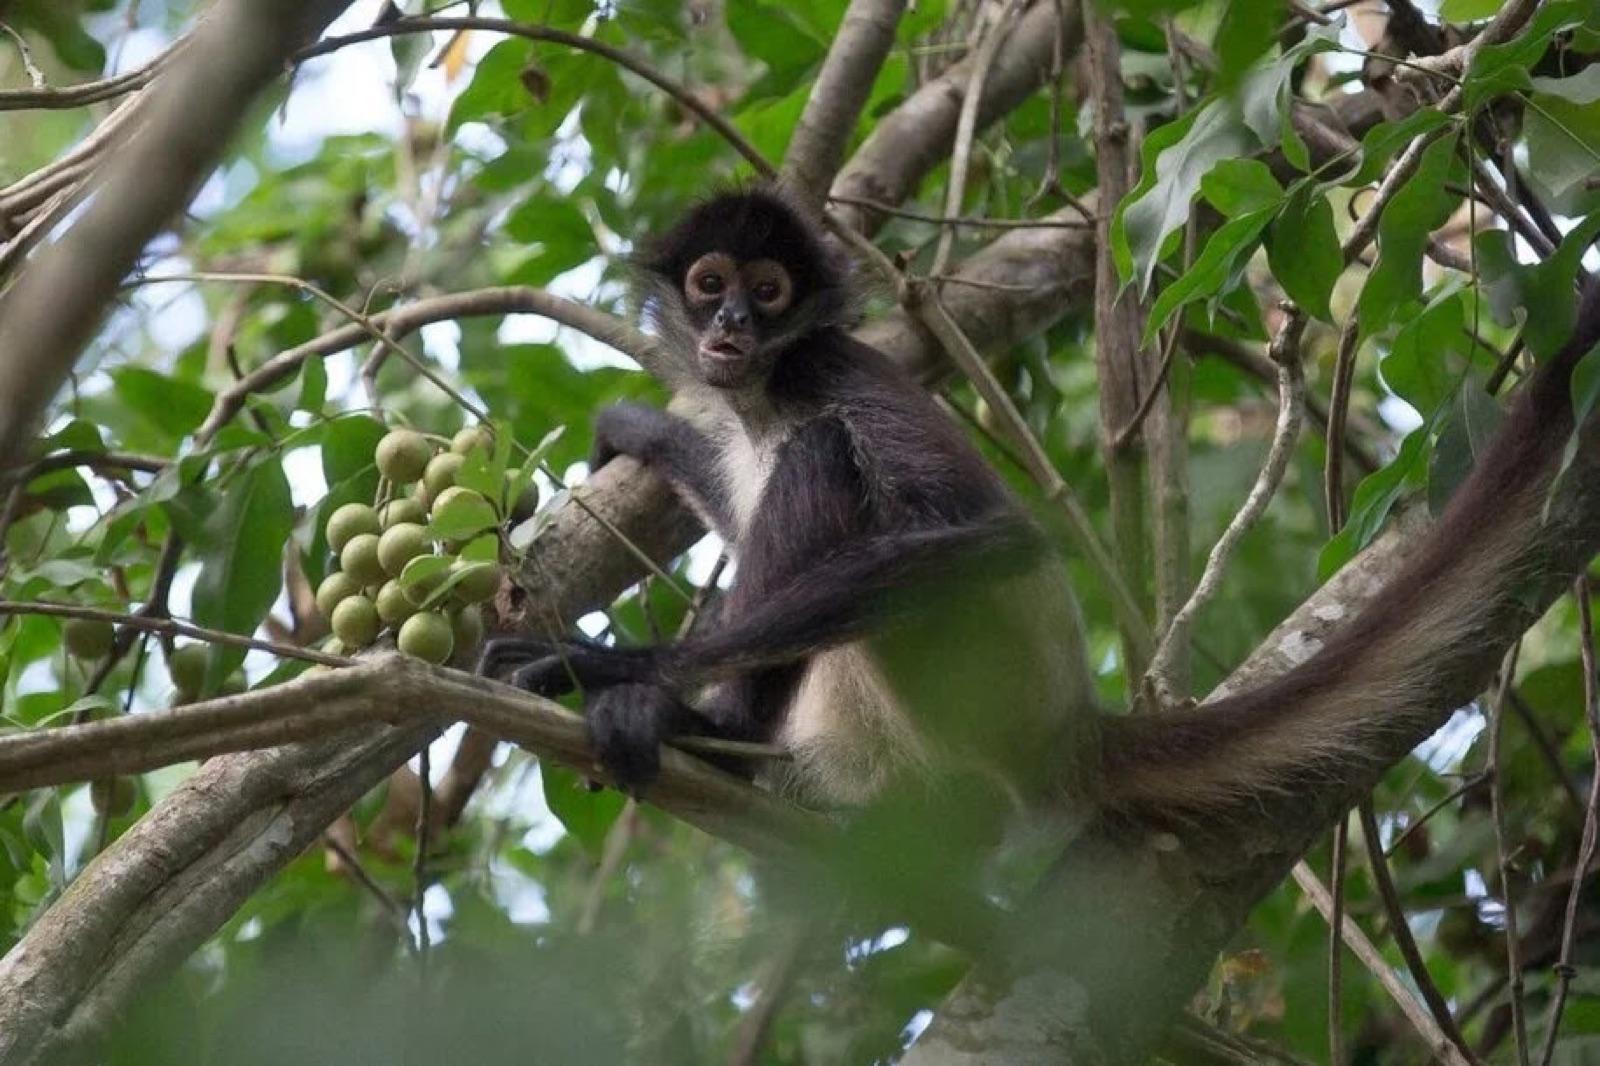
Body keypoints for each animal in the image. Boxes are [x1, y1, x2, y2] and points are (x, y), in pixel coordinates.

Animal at [480, 185, 1600, 825]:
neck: (766, 388)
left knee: (824, 461)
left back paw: (696, 726)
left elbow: (988, 538)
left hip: (975, 687)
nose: (729, 329)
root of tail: (1075, 726)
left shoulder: (833, 373)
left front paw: (618, 670)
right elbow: (712, 475)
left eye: (768, 291)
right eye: (711, 283)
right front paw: (636, 431)